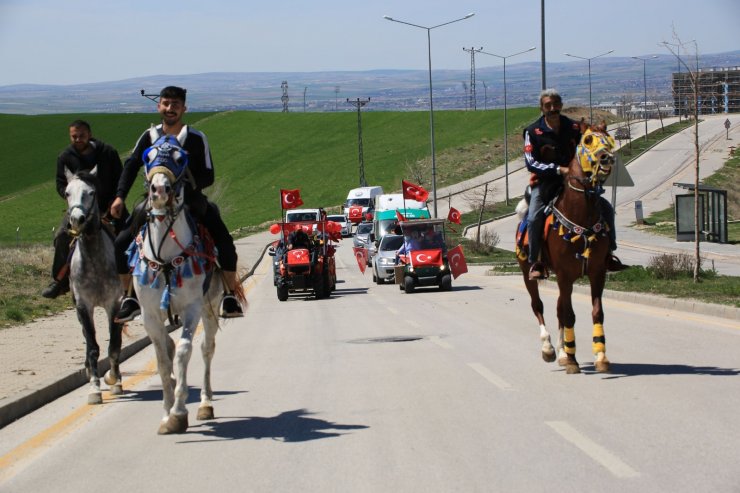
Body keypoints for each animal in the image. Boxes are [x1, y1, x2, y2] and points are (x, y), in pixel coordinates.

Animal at [63, 167, 124, 402]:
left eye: (91, 192)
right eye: (67, 192)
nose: (77, 219)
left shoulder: (114, 303)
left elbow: (114, 345)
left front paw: (113, 380)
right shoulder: (83, 306)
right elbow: (92, 347)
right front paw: (94, 387)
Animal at [129, 128, 225, 434]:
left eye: (181, 158)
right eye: (147, 156)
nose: (160, 191)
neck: (166, 255)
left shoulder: (192, 308)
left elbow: (184, 351)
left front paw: (179, 412)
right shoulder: (150, 315)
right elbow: (162, 360)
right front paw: (165, 412)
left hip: (210, 307)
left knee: (206, 349)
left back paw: (205, 404)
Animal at [516, 124, 616, 372]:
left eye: (609, 139)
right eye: (588, 140)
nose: (607, 158)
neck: (580, 215)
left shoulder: (597, 272)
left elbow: (596, 313)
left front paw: (600, 356)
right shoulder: (564, 274)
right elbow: (569, 315)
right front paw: (572, 360)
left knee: (559, 309)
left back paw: (561, 352)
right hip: (527, 272)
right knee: (538, 306)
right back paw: (549, 349)